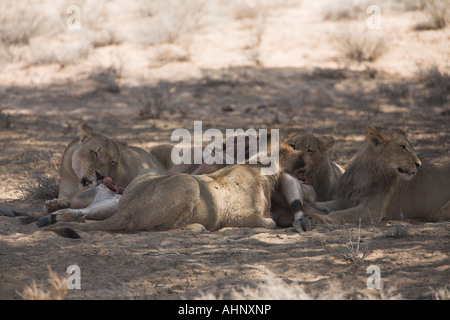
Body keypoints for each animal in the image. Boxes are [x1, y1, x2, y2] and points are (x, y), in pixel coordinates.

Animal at [44, 124, 174, 214]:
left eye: (112, 162)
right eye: (95, 153)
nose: (100, 175)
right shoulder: (65, 192)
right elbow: (62, 199)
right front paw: (54, 204)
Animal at [308, 125, 450, 225]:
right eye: (402, 147)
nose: (418, 164)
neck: (366, 175)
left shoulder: (373, 210)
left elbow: (339, 214)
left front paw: (318, 217)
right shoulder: (349, 198)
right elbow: (328, 204)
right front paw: (317, 207)